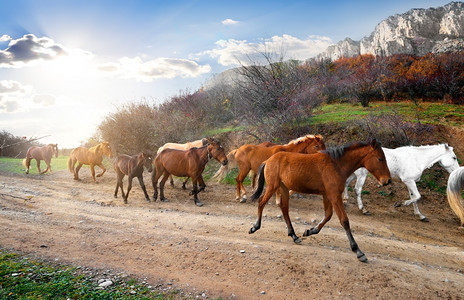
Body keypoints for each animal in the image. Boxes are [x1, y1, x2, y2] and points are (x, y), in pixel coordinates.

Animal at [250, 139, 392, 262]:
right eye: (380, 158)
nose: (388, 180)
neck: (336, 165)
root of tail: (268, 160)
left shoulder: (327, 195)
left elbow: (328, 216)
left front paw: (309, 231)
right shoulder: (334, 196)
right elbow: (344, 220)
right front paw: (358, 251)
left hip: (283, 188)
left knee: (284, 208)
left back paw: (294, 236)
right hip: (273, 186)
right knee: (261, 202)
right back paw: (255, 227)